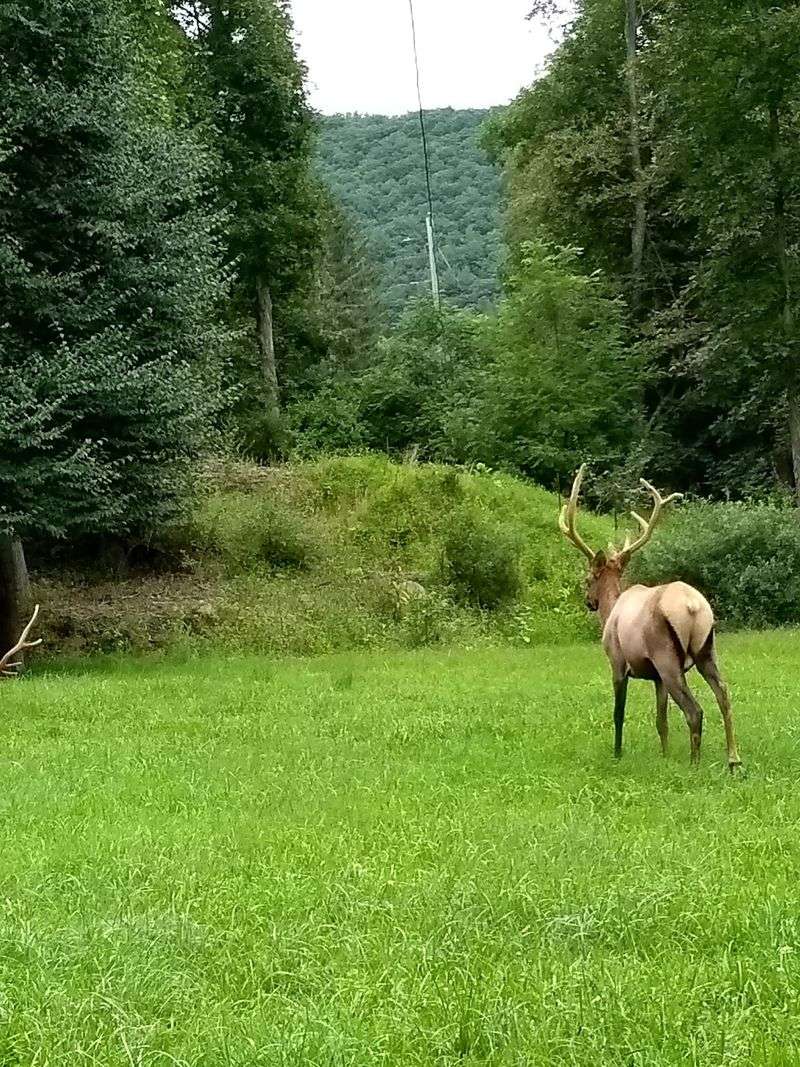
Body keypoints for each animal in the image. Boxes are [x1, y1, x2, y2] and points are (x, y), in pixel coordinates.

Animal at [558, 467, 741, 770]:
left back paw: (694, 763)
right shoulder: (655, 677)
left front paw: (617, 753)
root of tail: (694, 607)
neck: (610, 611)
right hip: (706, 648)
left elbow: (618, 712)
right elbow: (661, 719)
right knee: (724, 695)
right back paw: (733, 759)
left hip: (666, 655)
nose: (589, 602)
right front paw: (664, 755)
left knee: (695, 710)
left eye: (587, 579)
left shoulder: (617, 661)